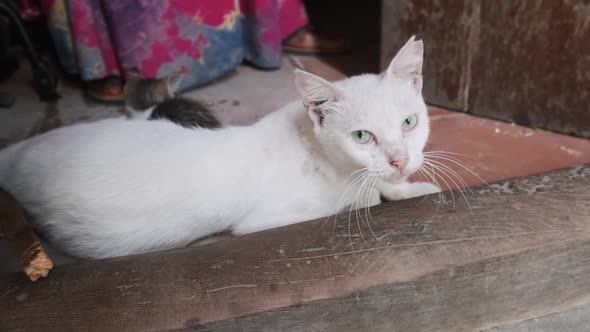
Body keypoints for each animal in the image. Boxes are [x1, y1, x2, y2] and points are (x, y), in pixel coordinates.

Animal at [0, 37, 440, 260]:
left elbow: (381, 186)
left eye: (409, 122)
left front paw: (412, 188)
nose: (400, 159)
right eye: (362, 137)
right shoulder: (265, 220)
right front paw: (382, 192)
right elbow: (363, 200)